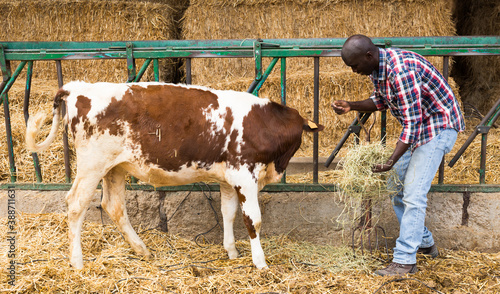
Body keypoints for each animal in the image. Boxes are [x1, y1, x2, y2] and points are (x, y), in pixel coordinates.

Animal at [26, 81, 324, 270]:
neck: (263, 124)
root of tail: (78, 86)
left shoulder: (229, 179)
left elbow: (227, 213)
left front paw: (231, 251)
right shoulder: (245, 175)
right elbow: (253, 220)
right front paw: (260, 262)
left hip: (115, 168)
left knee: (114, 205)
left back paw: (141, 249)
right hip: (92, 165)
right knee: (76, 204)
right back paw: (77, 262)